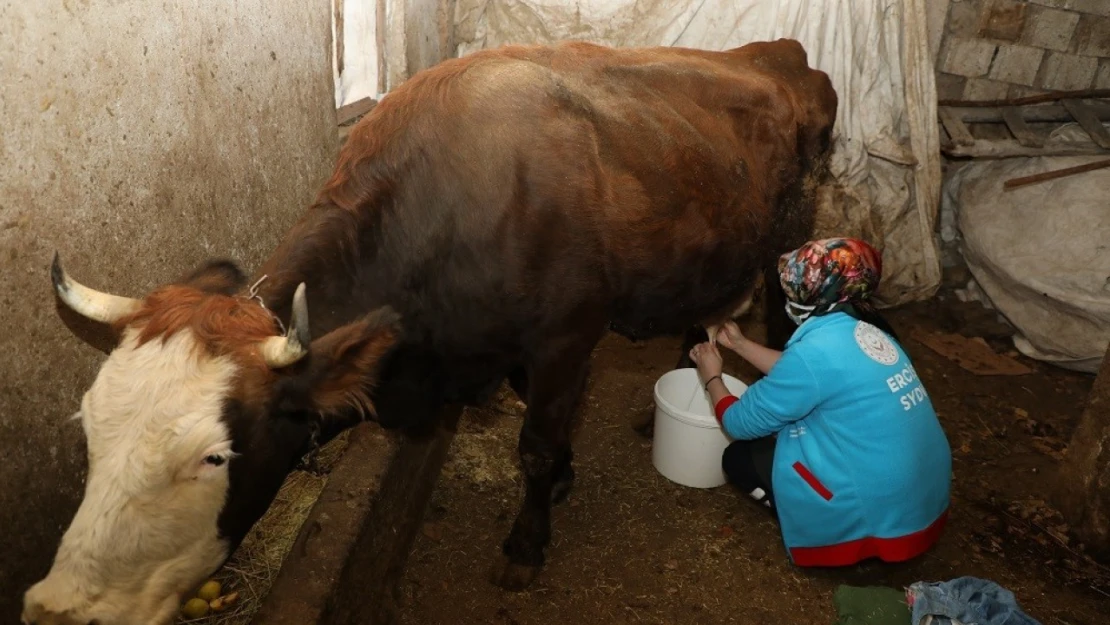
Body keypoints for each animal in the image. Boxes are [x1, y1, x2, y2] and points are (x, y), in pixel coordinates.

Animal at [21, 39, 834, 625]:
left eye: (215, 457)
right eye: (90, 429)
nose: (62, 609)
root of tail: (776, 54)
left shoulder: (566, 335)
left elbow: (535, 445)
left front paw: (525, 544)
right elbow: (547, 424)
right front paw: (564, 480)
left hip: (787, 238)